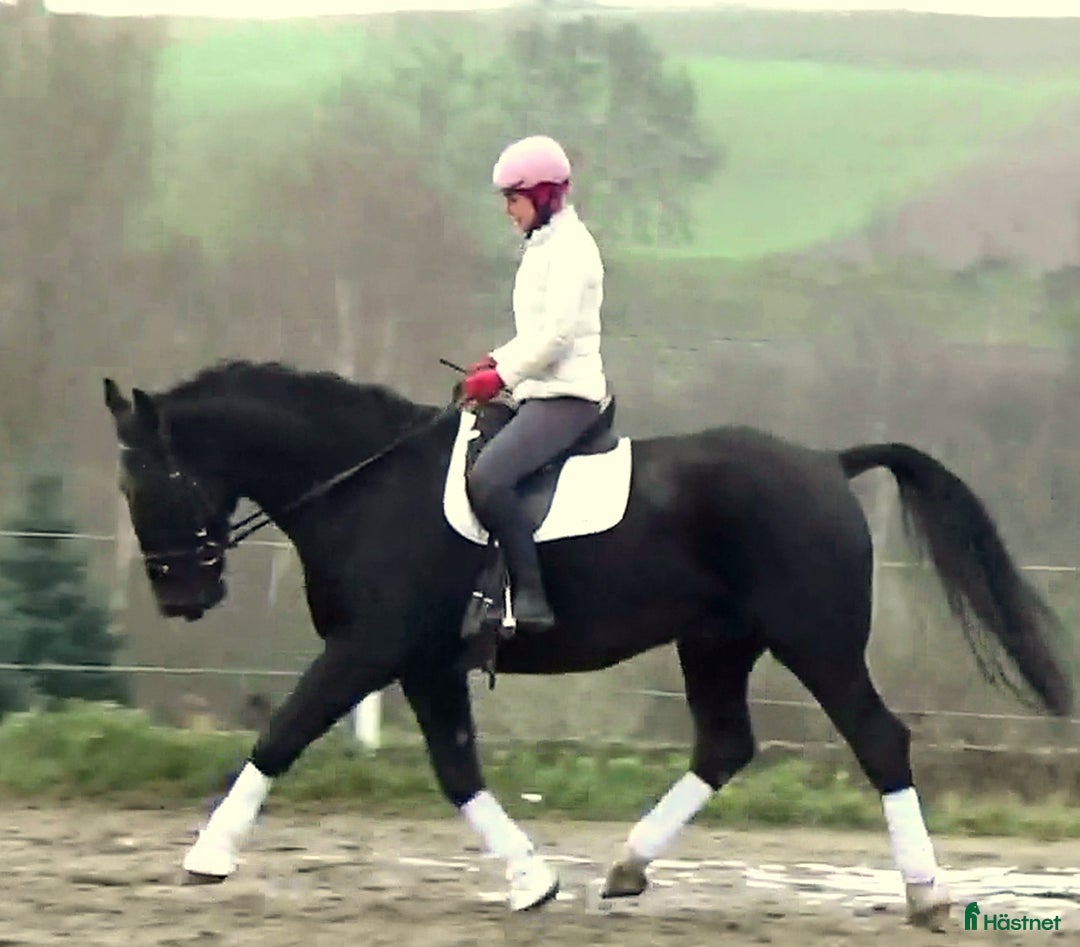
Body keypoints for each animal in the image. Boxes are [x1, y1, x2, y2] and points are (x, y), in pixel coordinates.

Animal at [102, 359, 1074, 928]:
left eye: (149, 478)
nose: (182, 595)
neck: (366, 485)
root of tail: (827, 463)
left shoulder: (368, 649)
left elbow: (282, 734)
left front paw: (207, 856)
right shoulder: (423, 662)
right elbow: (457, 770)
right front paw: (532, 880)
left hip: (817, 640)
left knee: (879, 739)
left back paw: (926, 893)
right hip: (715, 642)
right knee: (725, 745)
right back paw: (627, 866)